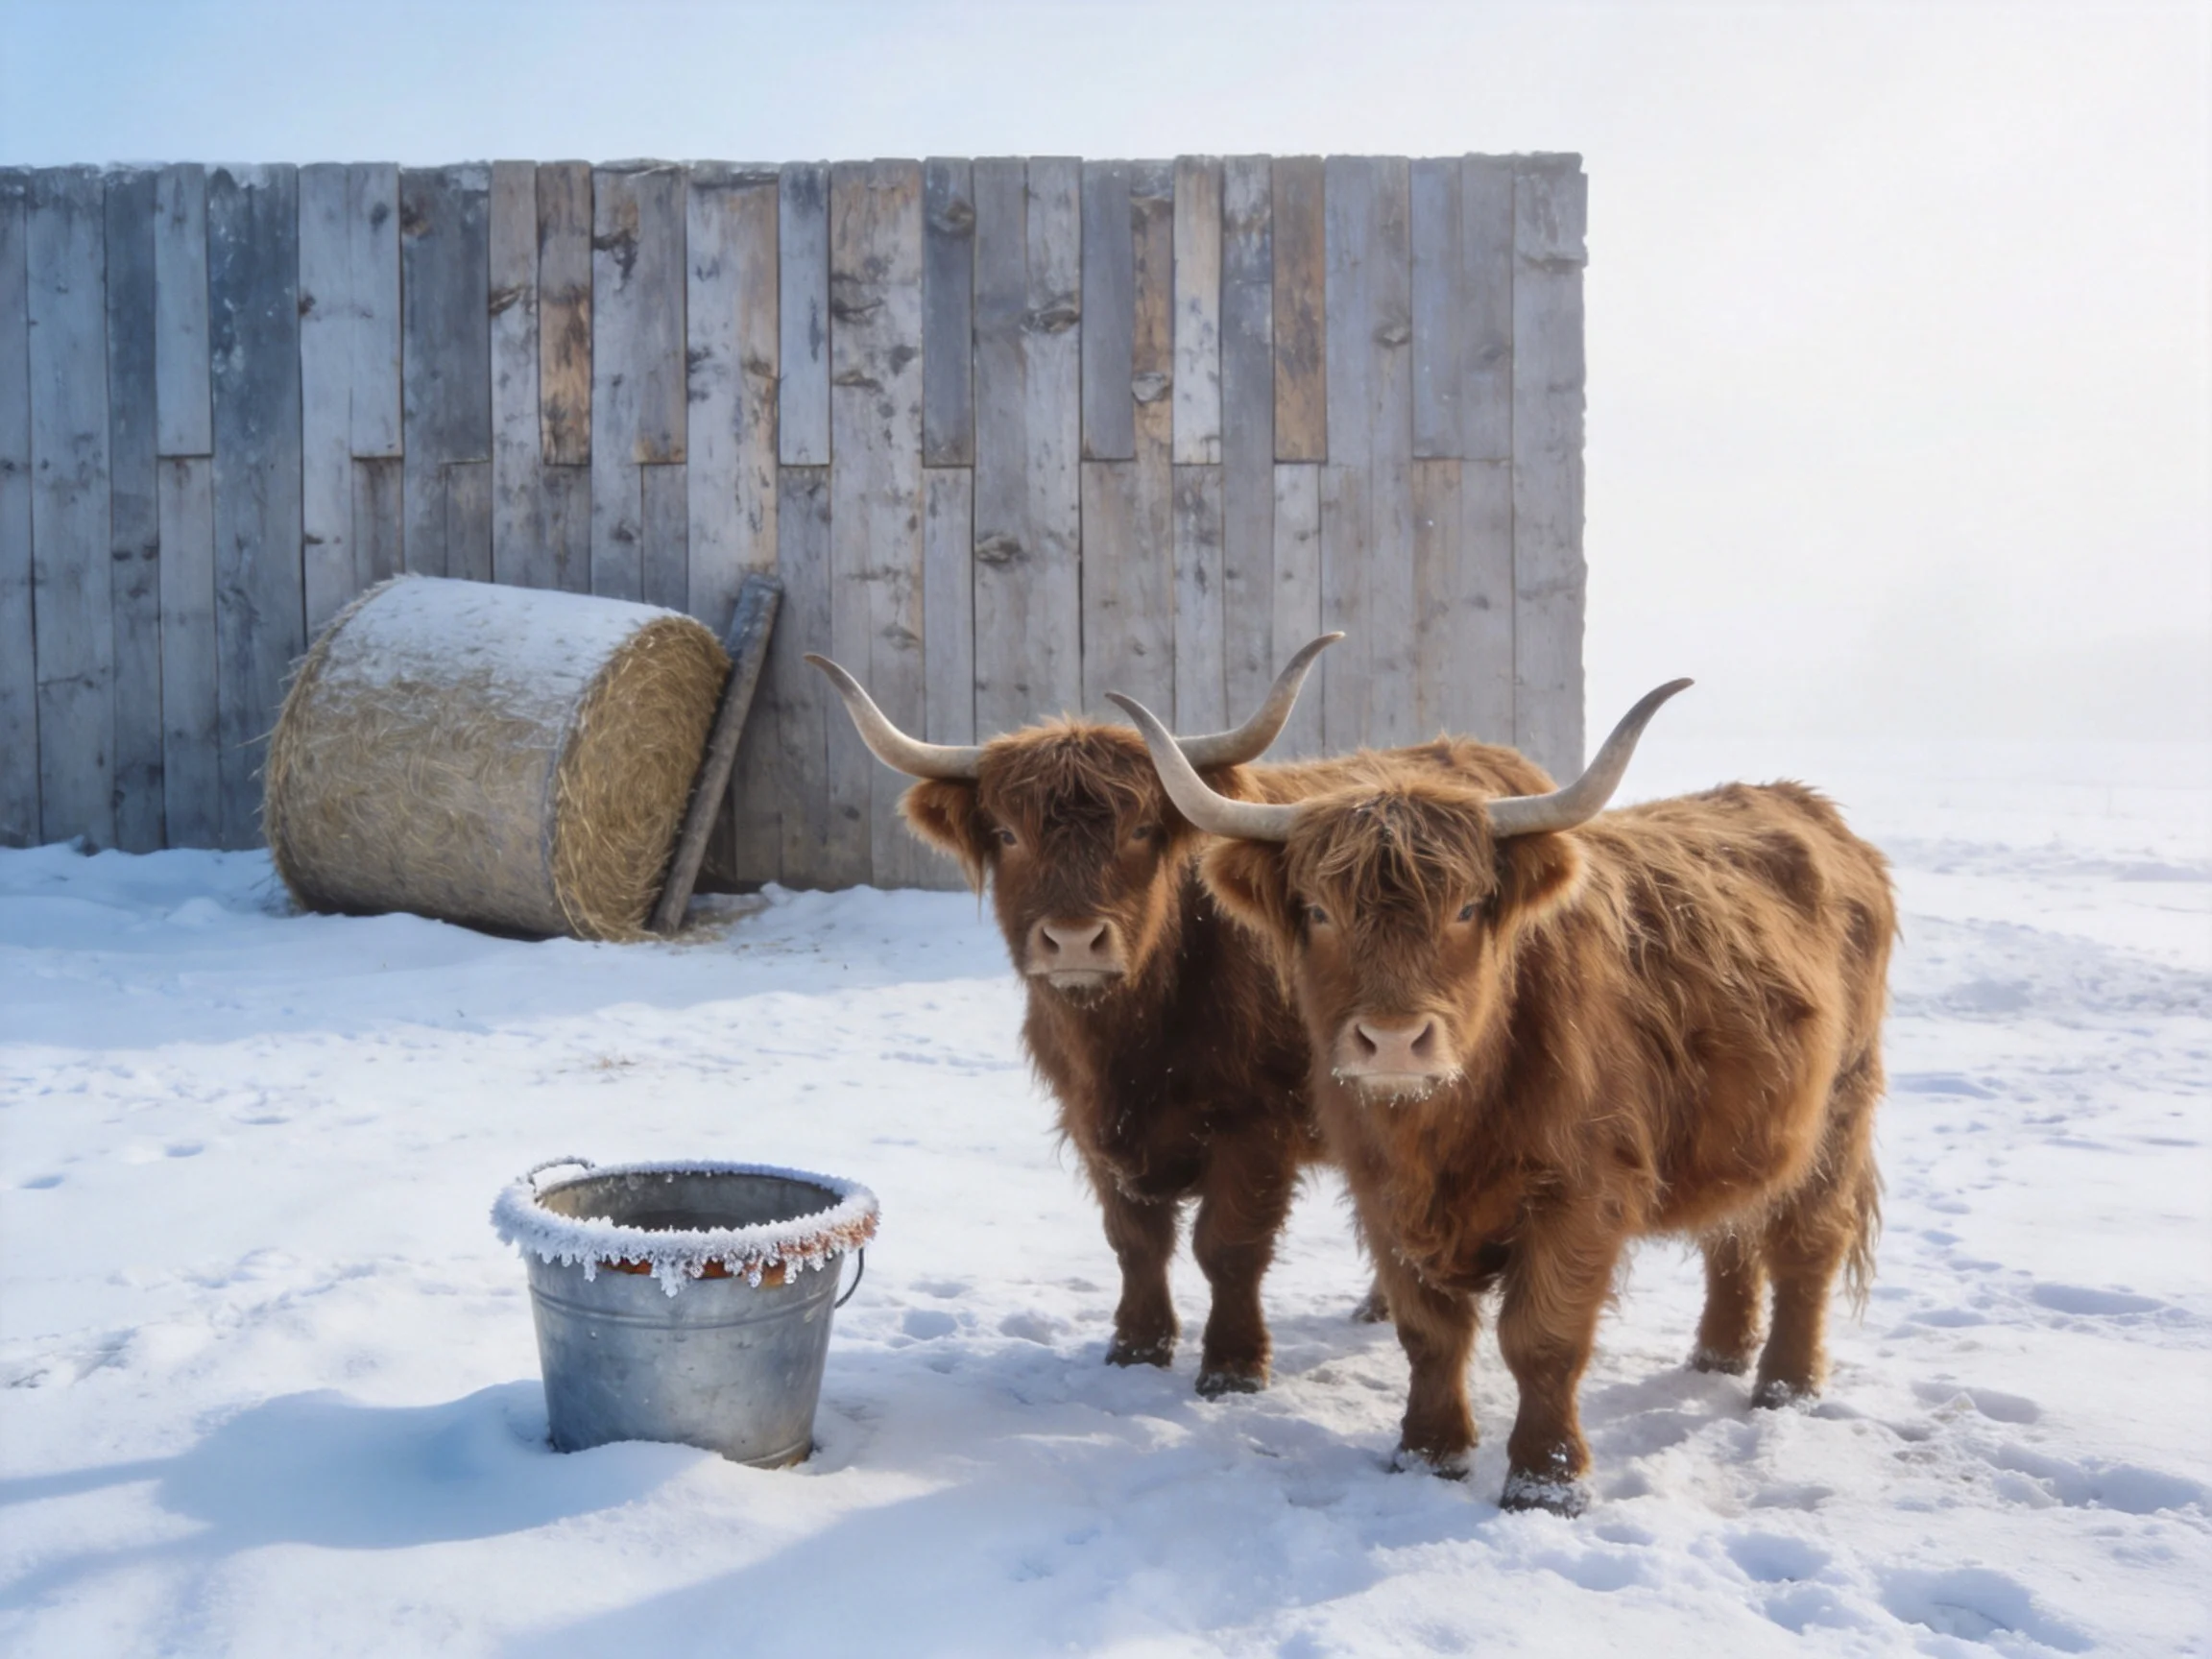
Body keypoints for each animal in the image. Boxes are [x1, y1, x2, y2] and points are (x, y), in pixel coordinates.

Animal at [807, 641, 1557, 1396]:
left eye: (1140, 830)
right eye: (1007, 833)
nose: (1074, 940)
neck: (1130, 1038)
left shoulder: (1256, 1126)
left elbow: (1228, 1247)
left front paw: (1232, 1364)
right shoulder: (1091, 1124)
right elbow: (1135, 1240)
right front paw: (1136, 1346)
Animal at [1110, 680, 1895, 1512]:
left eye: (1466, 908)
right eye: (1318, 911)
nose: (1394, 1039)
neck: (1444, 1127)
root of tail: (1802, 803)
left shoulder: (1581, 1194)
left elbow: (1542, 1340)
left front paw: (1546, 1480)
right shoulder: (1379, 1192)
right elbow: (1429, 1333)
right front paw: (1429, 1452)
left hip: (1841, 1110)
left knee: (1807, 1247)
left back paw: (1785, 1384)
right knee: (1734, 1230)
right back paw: (1718, 1354)